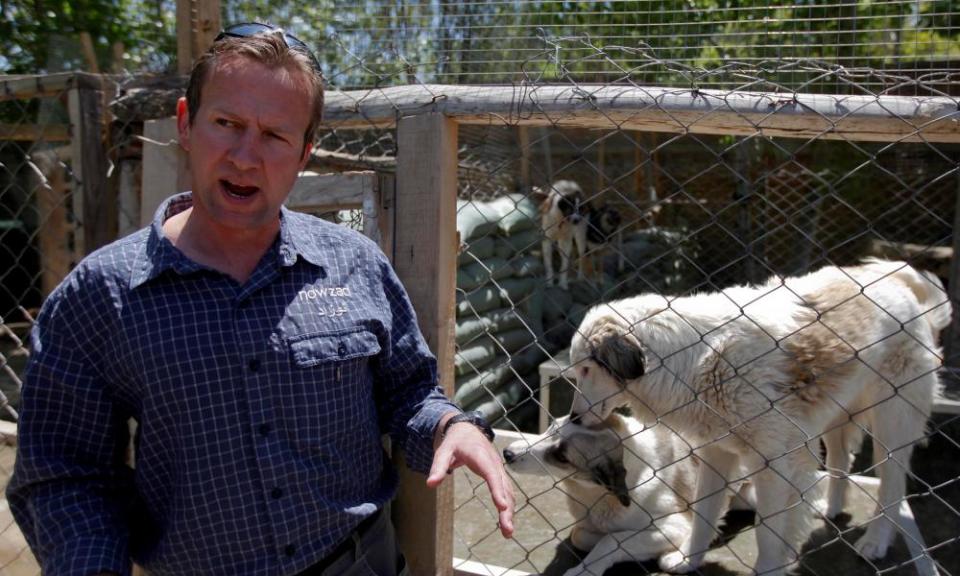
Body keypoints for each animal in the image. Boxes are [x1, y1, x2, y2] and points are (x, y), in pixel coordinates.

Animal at [506, 414, 760, 576]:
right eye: (551, 426)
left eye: (561, 457)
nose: (507, 453)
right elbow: (582, 535)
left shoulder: (677, 526)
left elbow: (612, 540)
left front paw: (585, 569)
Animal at [568, 260, 948, 576]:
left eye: (586, 370)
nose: (573, 417)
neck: (693, 361)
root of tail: (898, 284)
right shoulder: (715, 453)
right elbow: (704, 515)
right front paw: (689, 560)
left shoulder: (773, 464)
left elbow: (767, 533)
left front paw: (767, 568)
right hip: (833, 416)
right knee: (842, 458)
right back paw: (830, 508)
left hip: (892, 422)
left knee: (892, 484)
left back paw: (876, 540)